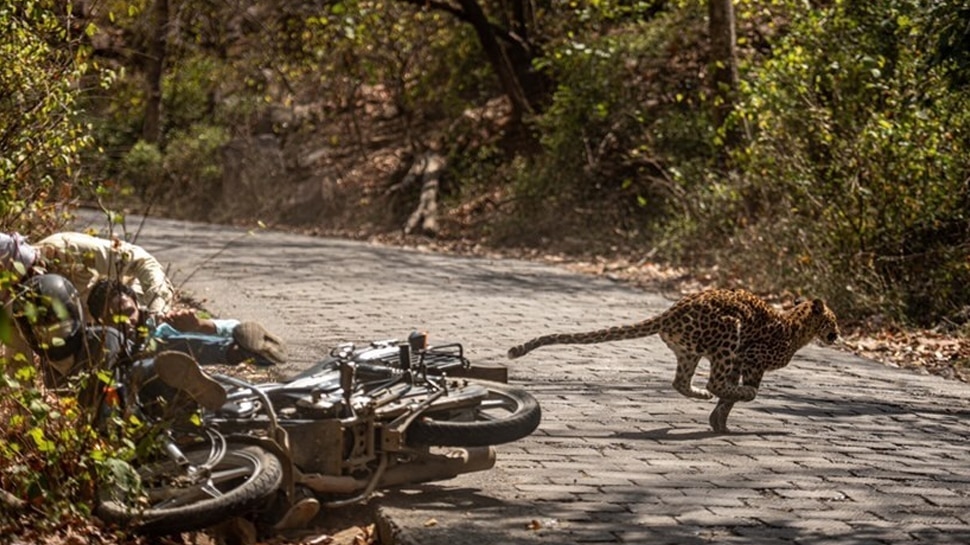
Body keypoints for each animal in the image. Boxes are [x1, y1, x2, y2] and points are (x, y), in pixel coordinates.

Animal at [506, 286, 840, 432]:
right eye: (833, 320)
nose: (838, 334)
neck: (797, 326)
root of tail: (674, 309)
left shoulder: (739, 362)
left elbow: (727, 398)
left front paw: (719, 423)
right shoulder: (750, 359)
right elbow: (737, 391)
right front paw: (736, 403)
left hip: (689, 351)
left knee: (681, 382)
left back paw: (699, 395)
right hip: (728, 333)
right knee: (713, 382)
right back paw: (718, 392)